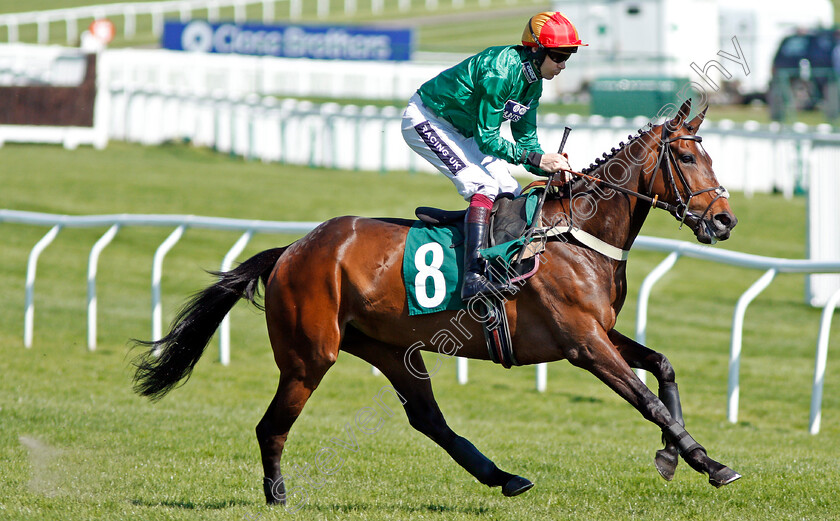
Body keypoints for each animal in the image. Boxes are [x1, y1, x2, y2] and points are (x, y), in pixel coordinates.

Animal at [133, 97, 740, 504]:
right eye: (687, 159)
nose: (724, 220)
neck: (572, 233)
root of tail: (293, 249)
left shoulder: (599, 330)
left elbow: (662, 366)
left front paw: (673, 454)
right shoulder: (583, 343)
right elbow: (646, 399)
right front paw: (708, 461)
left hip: (390, 349)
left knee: (427, 418)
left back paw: (505, 477)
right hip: (310, 355)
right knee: (272, 425)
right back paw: (277, 494)